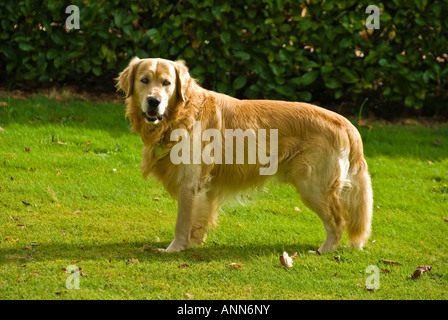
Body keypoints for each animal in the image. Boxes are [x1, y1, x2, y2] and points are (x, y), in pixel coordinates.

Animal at [116, 57, 374, 252]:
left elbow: (182, 222)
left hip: (313, 185)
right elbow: (199, 220)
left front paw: (174, 249)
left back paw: (324, 250)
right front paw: (194, 243)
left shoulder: (189, 183)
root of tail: (346, 123)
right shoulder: (204, 187)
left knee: (337, 221)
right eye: (144, 80)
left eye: (167, 83)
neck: (180, 117)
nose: (154, 101)